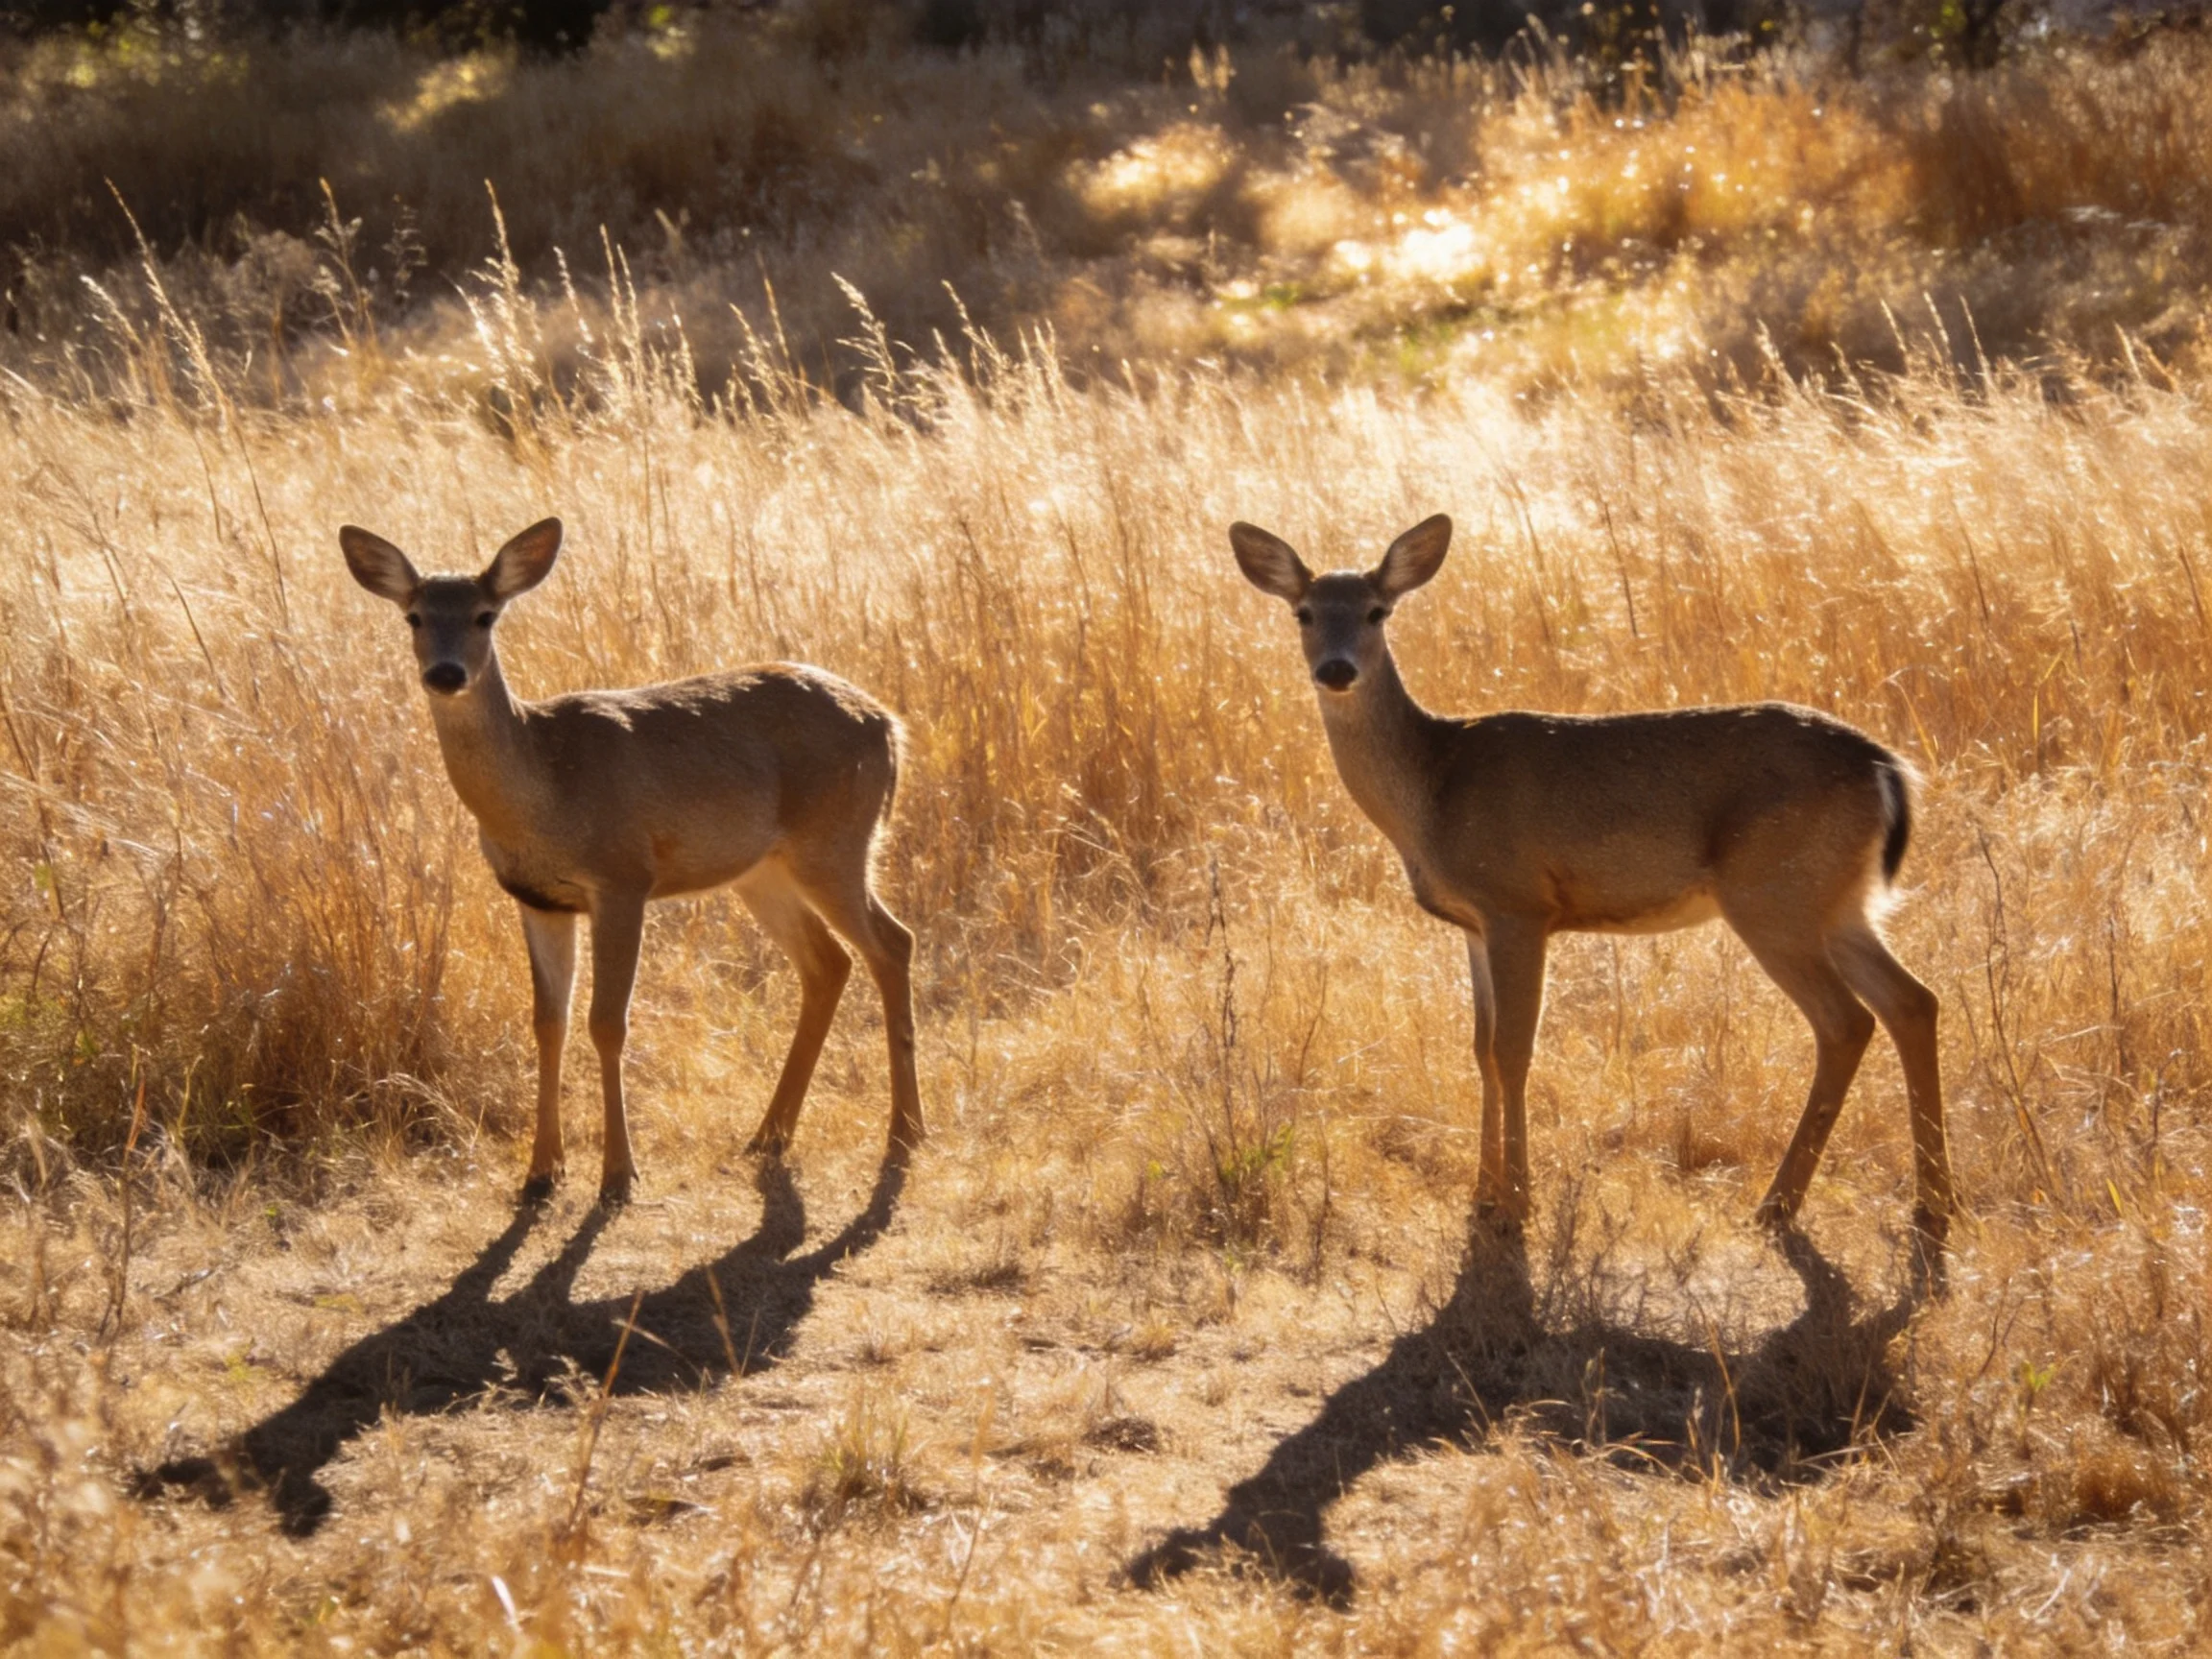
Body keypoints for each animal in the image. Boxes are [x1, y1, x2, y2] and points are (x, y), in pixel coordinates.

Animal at [341, 517, 922, 1208]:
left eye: (485, 615)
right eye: (414, 616)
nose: (447, 673)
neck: (544, 786)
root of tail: (890, 726)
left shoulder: (621, 879)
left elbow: (607, 1023)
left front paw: (618, 1175)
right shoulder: (538, 899)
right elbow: (549, 1022)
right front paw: (541, 1172)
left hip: (835, 845)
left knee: (892, 942)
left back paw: (905, 1134)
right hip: (763, 871)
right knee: (829, 962)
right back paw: (768, 1136)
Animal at [1232, 514, 1954, 1247]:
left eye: (1378, 612)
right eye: (1303, 612)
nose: (1336, 669)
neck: (1432, 788)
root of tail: (1886, 768)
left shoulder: (1517, 904)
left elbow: (1513, 1049)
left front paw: (1515, 1203)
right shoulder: (1473, 923)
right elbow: (1480, 1048)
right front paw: (1481, 1195)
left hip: (1772, 894)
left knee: (1846, 1021)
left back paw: (1778, 1205)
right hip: (1837, 902)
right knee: (1913, 1001)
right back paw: (1933, 1203)